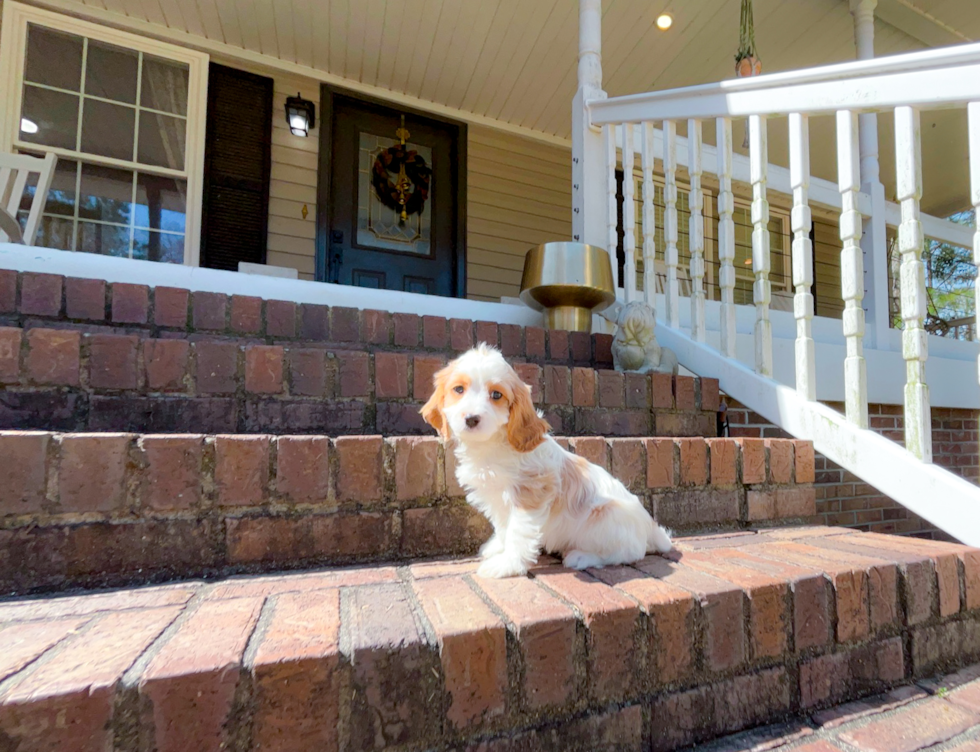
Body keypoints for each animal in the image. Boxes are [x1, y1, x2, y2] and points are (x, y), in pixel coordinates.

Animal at [418, 344, 668, 580]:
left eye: (496, 395)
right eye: (458, 390)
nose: (471, 419)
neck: (493, 444)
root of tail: (652, 528)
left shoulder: (532, 493)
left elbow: (518, 532)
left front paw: (507, 564)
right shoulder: (497, 498)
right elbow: (503, 526)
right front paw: (498, 548)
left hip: (606, 518)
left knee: (629, 553)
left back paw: (580, 557)